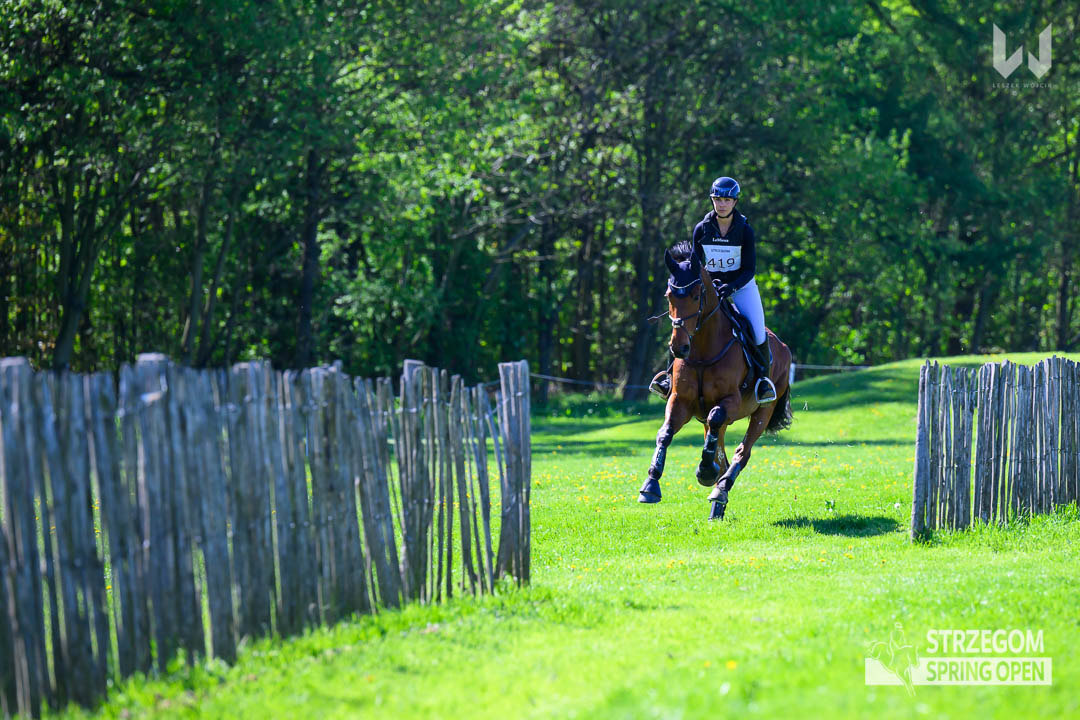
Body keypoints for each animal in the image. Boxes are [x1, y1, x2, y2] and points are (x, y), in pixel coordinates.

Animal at [637, 239, 793, 520]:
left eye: (696, 295)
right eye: (669, 296)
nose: (679, 348)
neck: (702, 350)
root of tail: (783, 347)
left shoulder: (729, 401)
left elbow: (717, 417)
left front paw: (705, 471)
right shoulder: (680, 401)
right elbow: (665, 433)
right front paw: (650, 485)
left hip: (763, 412)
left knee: (742, 452)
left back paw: (719, 489)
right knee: (722, 453)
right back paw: (717, 503)